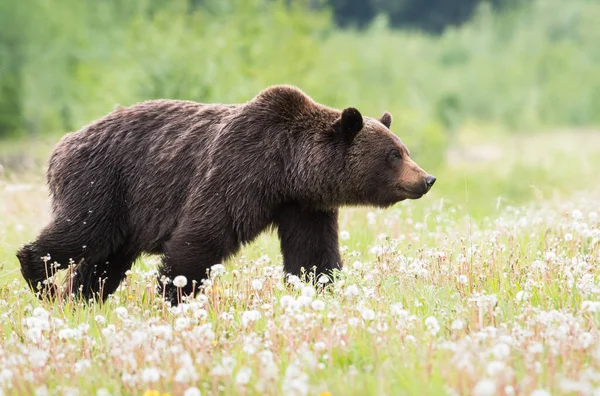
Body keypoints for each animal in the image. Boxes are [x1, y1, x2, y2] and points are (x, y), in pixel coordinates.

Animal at [15, 85, 436, 304]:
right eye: (394, 154)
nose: (427, 178)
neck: (286, 167)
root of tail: (62, 145)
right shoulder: (237, 172)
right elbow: (201, 235)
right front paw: (175, 291)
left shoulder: (303, 205)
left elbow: (312, 254)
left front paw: (320, 288)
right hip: (103, 183)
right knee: (81, 234)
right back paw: (41, 279)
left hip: (122, 214)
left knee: (103, 262)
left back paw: (78, 297)